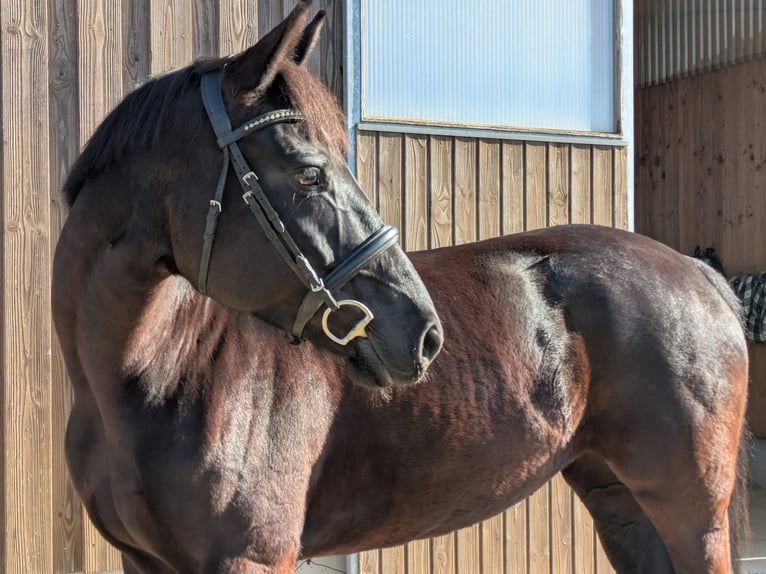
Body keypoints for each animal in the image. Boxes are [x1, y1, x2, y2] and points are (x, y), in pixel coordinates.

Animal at [52, 2, 750, 573]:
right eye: (309, 174)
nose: (424, 333)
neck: (163, 370)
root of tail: (699, 275)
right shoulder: (146, 561)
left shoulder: (250, 556)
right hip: (621, 499)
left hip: (691, 512)